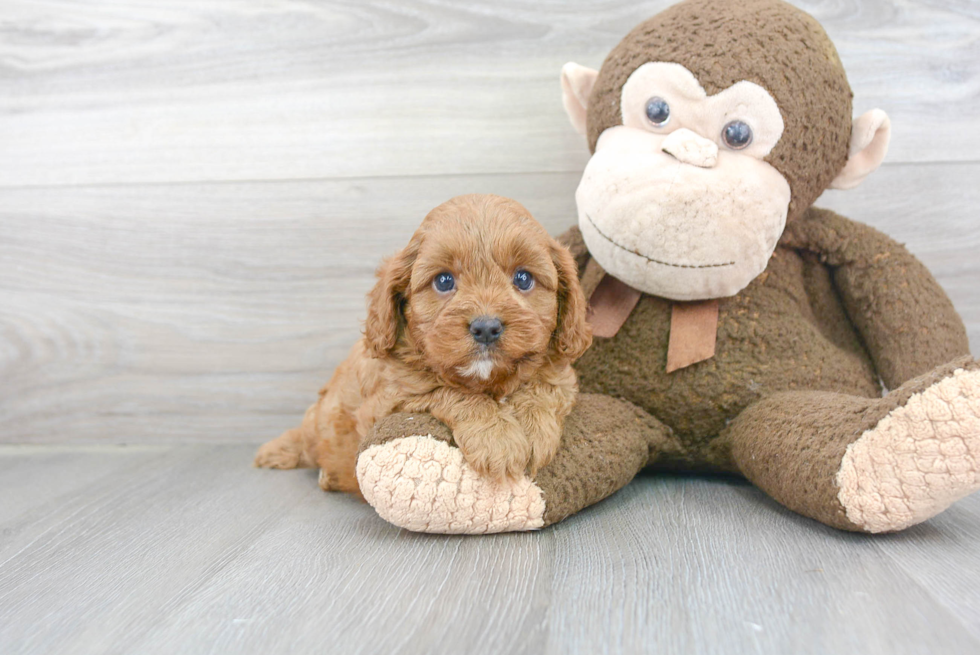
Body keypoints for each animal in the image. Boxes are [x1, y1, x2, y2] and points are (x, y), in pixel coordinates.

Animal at [253, 195, 588, 498]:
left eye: (523, 278)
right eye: (444, 281)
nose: (486, 328)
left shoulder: (562, 377)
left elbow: (543, 386)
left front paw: (533, 428)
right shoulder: (387, 401)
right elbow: (448, 392)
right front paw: (497, 438)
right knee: (305, 442)